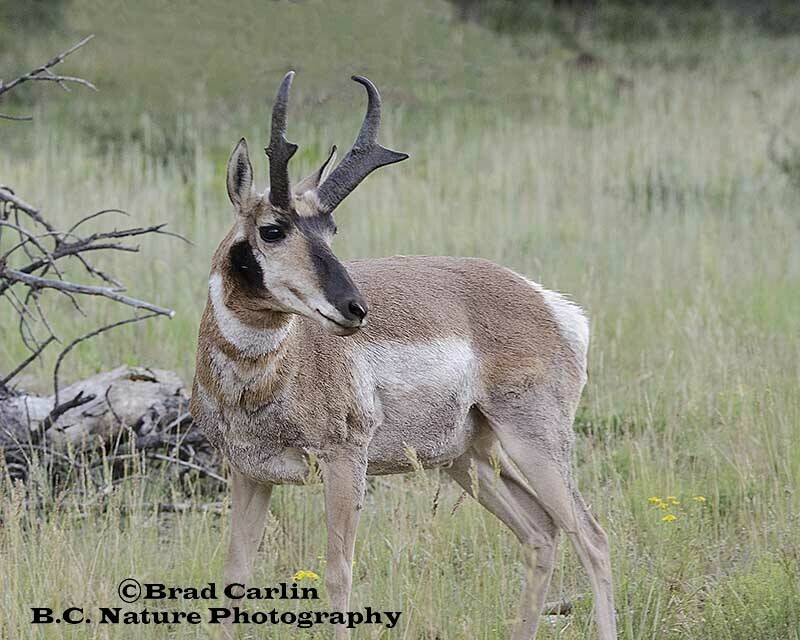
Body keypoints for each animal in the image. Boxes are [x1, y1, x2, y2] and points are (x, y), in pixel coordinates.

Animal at [190, 72, 617, 640]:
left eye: (330, 230)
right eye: (272, 229)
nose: (355, 308)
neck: (263, 375)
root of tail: (548, 302)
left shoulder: (345, 463)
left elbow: (338, 574)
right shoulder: (249, 474)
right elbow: (234, 577)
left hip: (535, 444)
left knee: (591, 537)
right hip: (468, 457)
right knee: (541, 532)